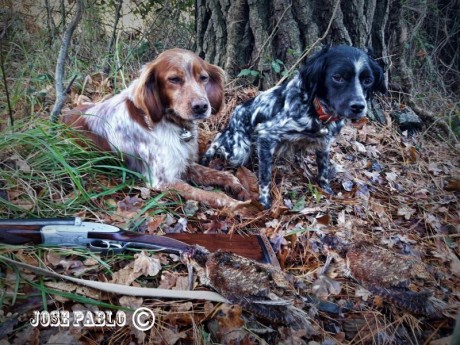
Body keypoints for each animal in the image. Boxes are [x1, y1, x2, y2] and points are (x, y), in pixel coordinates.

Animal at [63, 48, 250, 208]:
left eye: (203, 77)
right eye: (174, 79)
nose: (201, 106)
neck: (172, 122)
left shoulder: (185, 163)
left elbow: (225, 174)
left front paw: (240, 188)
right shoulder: (163, 180)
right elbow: (214, 196)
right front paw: (239, 206)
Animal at [201, 45, 384, 207]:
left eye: (368, 80)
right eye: (337, 77)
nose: (358, 107)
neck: (315, 109)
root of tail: (234, 115)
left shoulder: (324, 144)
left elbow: (323, 170)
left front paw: (326, 190)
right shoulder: (267, 134)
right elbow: (265, 177)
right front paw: (264, 201)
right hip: (238, 151)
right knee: (219, 138)